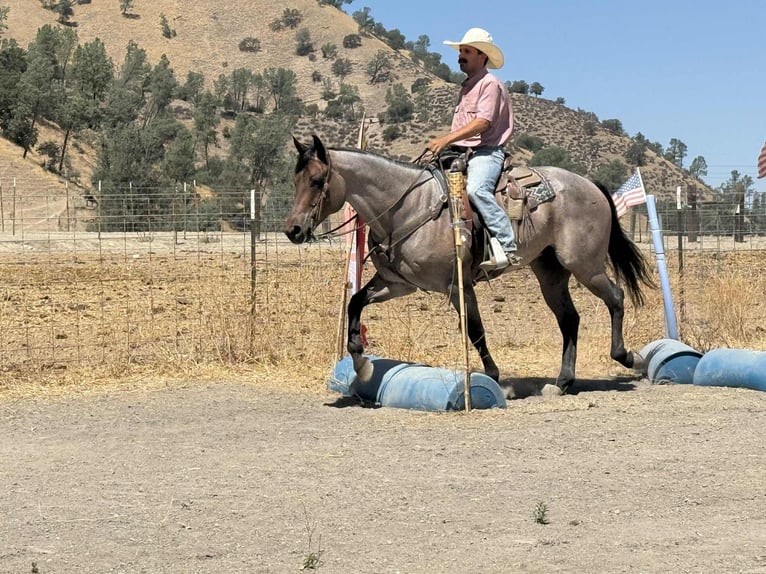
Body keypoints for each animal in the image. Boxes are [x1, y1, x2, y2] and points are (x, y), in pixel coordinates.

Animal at [284, 135, 655, 395]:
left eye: (316, 181)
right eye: (295, 180)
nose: (293, 230)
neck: (406, 206)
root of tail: (591, 184)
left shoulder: (456, 284)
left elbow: (475, 330)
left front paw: (494, 379)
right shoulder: (398, 283)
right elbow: (355, 302)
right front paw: (361, 363)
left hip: (585, 265)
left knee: (616, 298)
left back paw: (628, 357)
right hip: (551, 273)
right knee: (570, 319)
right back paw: (563, 382)